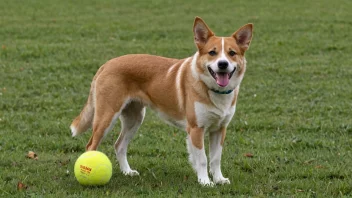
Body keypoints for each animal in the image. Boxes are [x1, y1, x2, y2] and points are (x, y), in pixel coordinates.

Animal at [71, 17, 253, 186]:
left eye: (232, 53)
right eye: (212, 53)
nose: (222, 64)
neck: (213, 90)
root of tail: (106, 64)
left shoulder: (219, 129)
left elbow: (215, 159)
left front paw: (219, 179)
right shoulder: (196, 129)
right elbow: (202, 159)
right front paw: (205, 182)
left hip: (134, 119)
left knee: (119, 145)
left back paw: (127, 172)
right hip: (106, 117)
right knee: (90, 146)